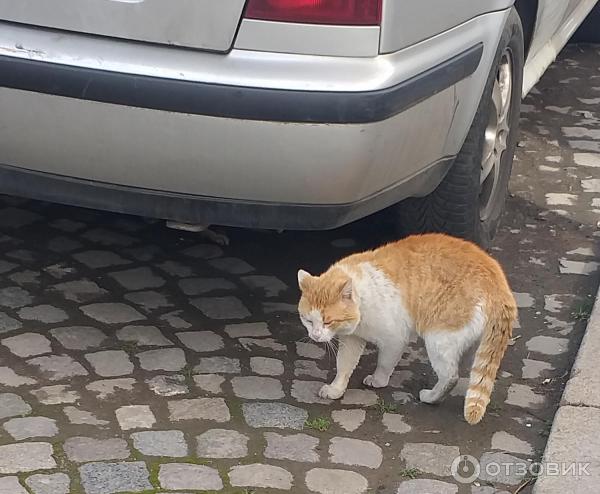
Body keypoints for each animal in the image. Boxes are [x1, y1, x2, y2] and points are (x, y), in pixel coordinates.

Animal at [298, 233, 516, 424]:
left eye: (327, 322)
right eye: (308, 321)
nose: (315, 335)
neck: (363, 297)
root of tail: (499, 288)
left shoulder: (394, 338)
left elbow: (385, 363)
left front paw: (378, 380)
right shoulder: (352, 339)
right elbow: (344, 365)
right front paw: (336, 389)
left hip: (438, 339)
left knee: (451, 376)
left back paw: (431, 397)